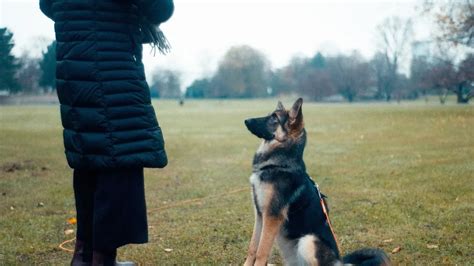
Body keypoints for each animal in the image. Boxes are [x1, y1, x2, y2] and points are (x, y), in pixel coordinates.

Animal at [243, 98, 390, 264]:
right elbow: (253, 248)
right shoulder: (260, 214)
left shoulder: (272, 216)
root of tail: (340, 262)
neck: (279, 163)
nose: (246, 120)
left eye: (274, 118)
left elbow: (261, 251)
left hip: (308, 241)